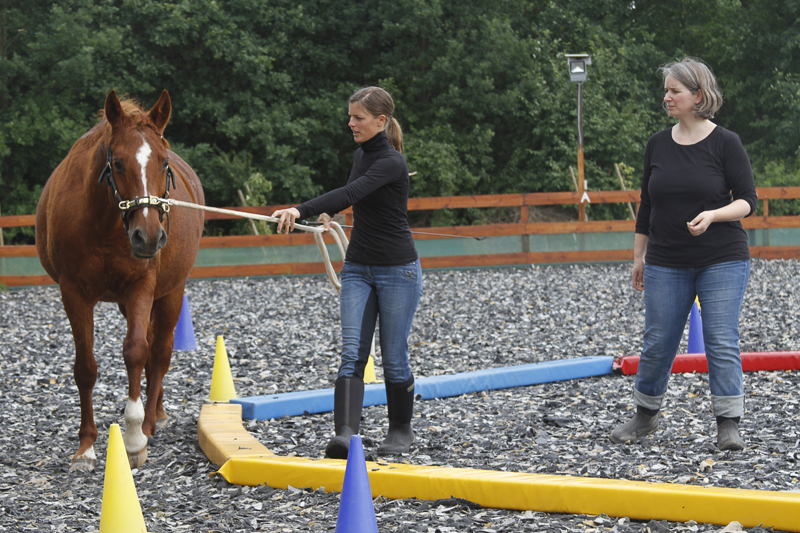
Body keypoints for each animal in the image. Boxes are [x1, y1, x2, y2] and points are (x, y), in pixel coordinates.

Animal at [35, 90, 205, 470]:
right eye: (117, 163)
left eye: (164, 164)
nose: (149, 237)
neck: (104, 224)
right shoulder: (73, 293)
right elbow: (85, 367)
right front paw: (85, 447)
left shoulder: (141, 287)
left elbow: (136, 351)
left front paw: (133, 437)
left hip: (171, 293)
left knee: (160, 352)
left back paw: (152, 420)